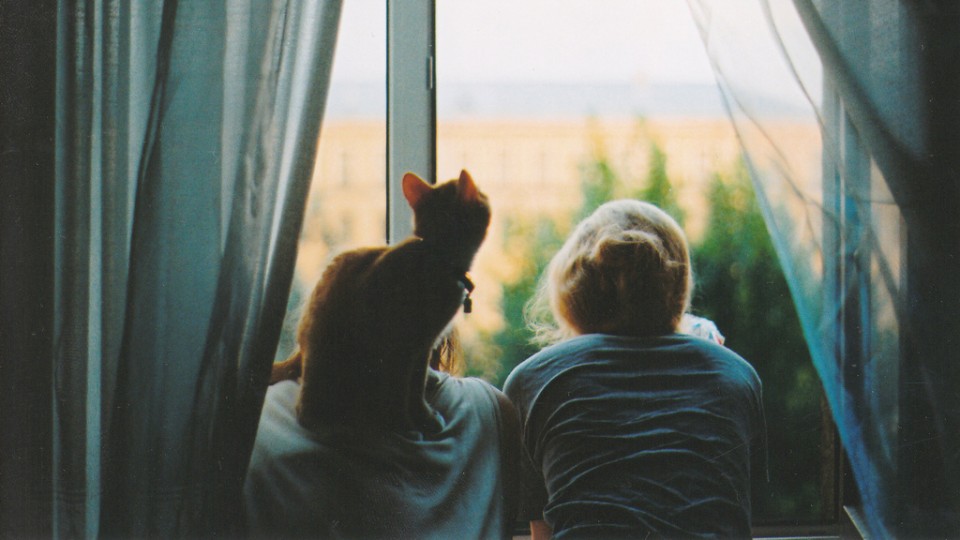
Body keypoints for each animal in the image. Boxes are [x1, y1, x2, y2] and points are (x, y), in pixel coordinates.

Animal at [270, 170, 491, 434]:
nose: (485, 194)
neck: (435, 253)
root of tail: (301, 351)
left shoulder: (421, 347)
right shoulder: (407, 346)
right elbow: (407, 391)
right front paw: (416, 421)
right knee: (306, 413)